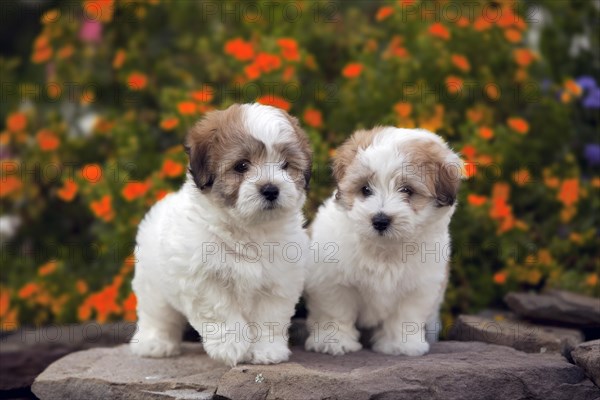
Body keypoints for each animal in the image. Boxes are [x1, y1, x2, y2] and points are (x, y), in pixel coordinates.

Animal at [129, 102, 312, 366]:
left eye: (286, 165)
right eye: (242, 166)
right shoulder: (203, 279)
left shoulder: (279, 280)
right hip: (153, 284)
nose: (270, 189)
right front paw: (231, 347)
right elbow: (221, 313)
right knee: (158, 314)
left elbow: (269, 317)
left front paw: (266, 350)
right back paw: (155, 344)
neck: (247, 229)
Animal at [304, 127, 464, 356]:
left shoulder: (419, 287)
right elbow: (336, 310)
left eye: (407, 190)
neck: (385, 250)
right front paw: (334, 342)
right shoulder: (331, 280)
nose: (380, 220)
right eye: (365, 189)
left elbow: (405, 316)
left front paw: (401, 345)